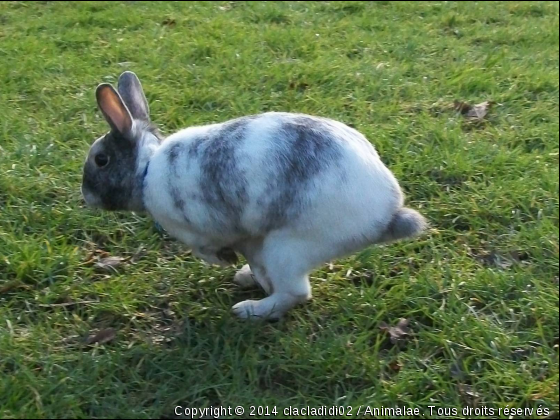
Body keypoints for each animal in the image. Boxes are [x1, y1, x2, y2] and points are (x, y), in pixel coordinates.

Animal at [81, 73, 426, 322]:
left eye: (101, 160)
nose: (85, 196)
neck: (146, 169)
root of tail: (388, 214)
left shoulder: (203, 233)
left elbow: (210, 251)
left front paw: (228, 261)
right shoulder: (248, 238)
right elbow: (251, 257)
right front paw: (245, 270)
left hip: (287, 248)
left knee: (296, 293)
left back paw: (250, 310)